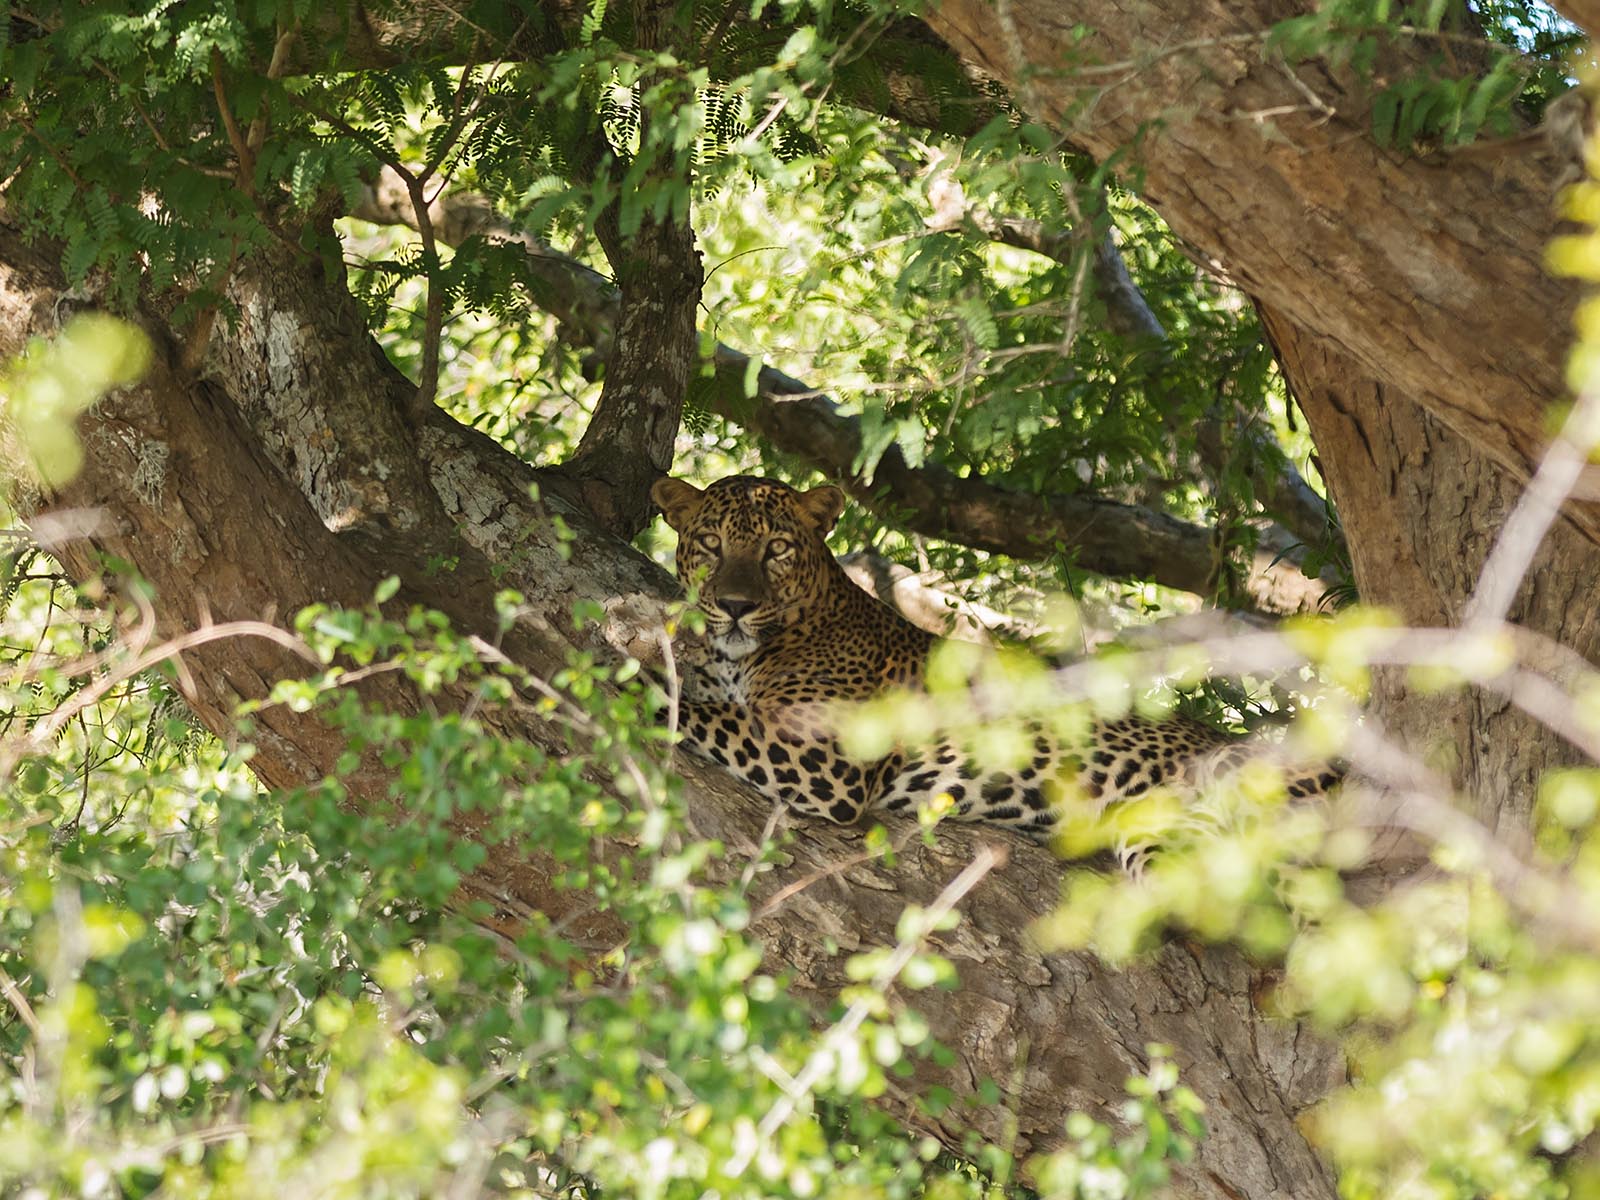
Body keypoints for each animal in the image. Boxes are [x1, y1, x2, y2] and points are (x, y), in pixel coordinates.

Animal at [641, 473, 1341, 841]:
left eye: (777, 550)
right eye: (710, 543)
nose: (733, 605)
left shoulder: (824, 762)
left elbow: (699, 712)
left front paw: (629, 682)